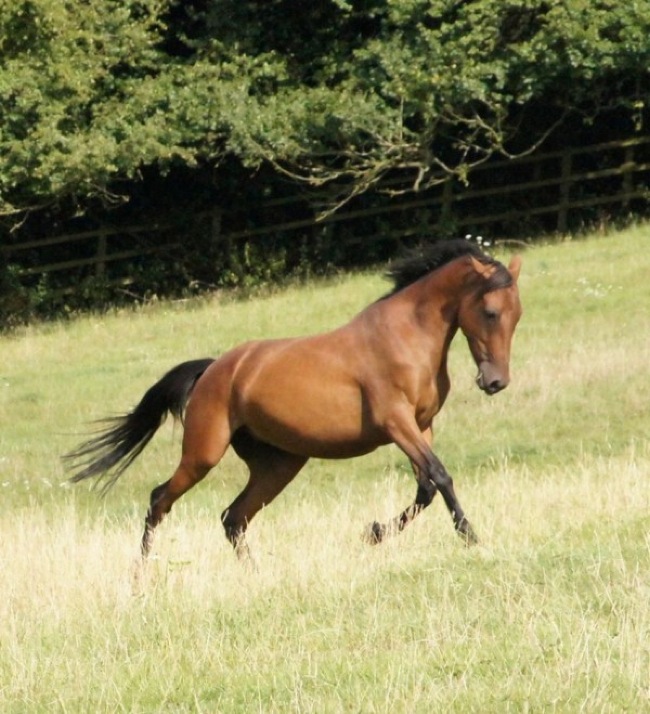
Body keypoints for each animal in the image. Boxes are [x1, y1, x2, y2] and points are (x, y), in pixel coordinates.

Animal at [66, 241, 520, 560]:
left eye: (517, 315)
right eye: (491, 312)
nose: (496, 382)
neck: (405, 336)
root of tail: (214, 369)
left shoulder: (421, 424)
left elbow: (425, 488)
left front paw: (373, 532)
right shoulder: (396, 422)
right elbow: (440, 477)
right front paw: (471, 537)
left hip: (279, 464)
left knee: (233, 517)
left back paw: (253, 573)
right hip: (203, 453)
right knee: (160, 500)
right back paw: (142, 573)